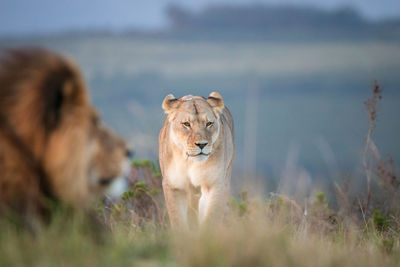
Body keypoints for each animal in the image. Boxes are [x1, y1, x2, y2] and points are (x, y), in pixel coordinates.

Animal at [159, 92, 234, 230]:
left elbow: (211, 218)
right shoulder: (173, 186)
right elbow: (178, 220)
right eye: (186, 124)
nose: (202, 144)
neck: (190, 162)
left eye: (209, 123)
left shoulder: (214, 184)